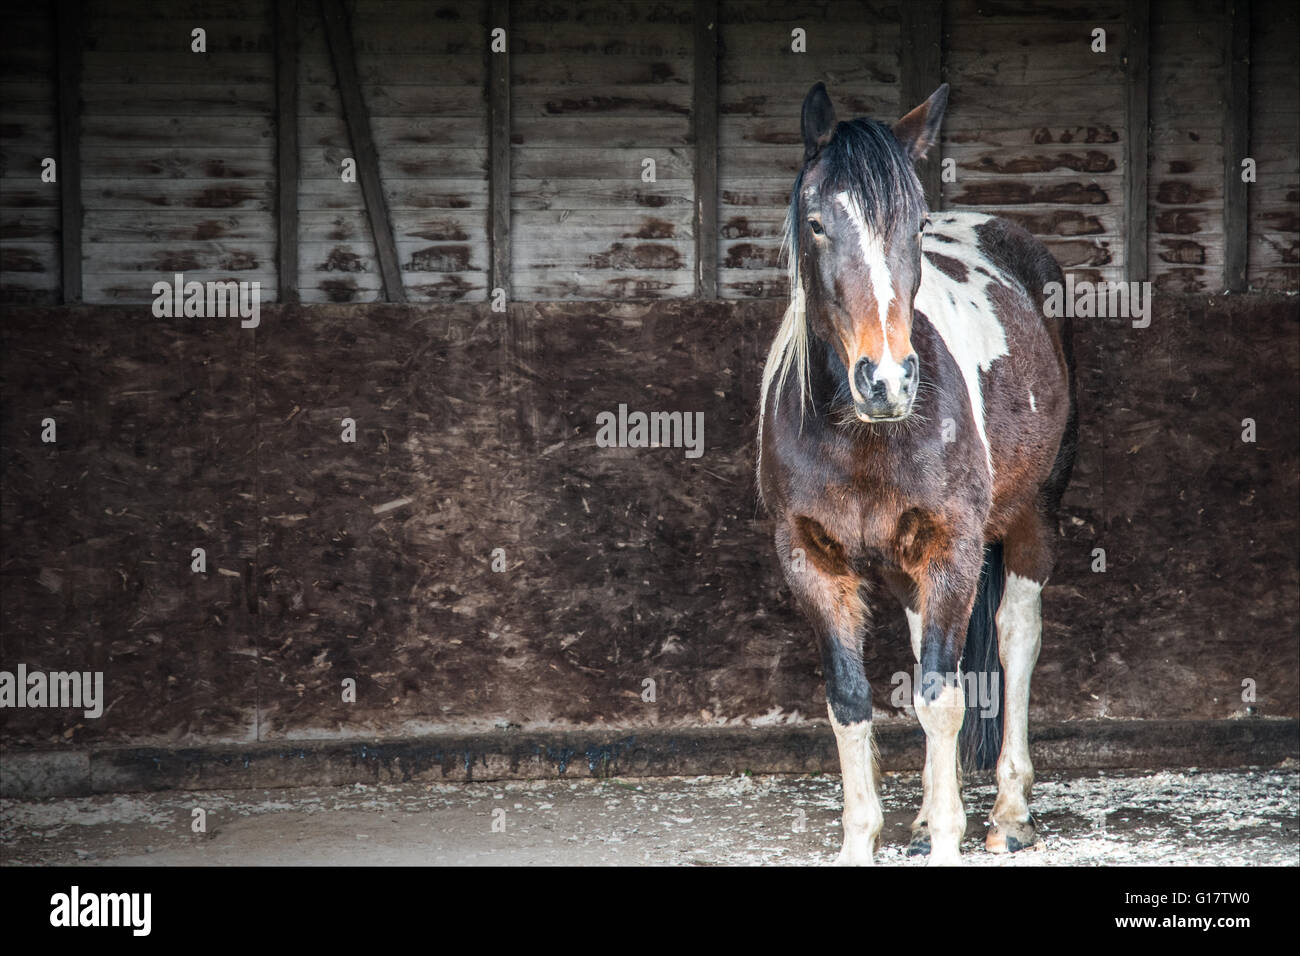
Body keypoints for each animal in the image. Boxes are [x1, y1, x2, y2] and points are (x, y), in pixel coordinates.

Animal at [757, 82, 1077, 865]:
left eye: (915, 227)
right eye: (816, 223)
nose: (887, 381)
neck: (861, 437)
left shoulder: (953, 547)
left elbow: (941, 699)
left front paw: (953, 839)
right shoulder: (810, 560)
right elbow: (850, 702)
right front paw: (868, 838)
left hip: (1032, 520)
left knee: (1017, 636)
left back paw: (1007, 812)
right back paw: (934, 813)